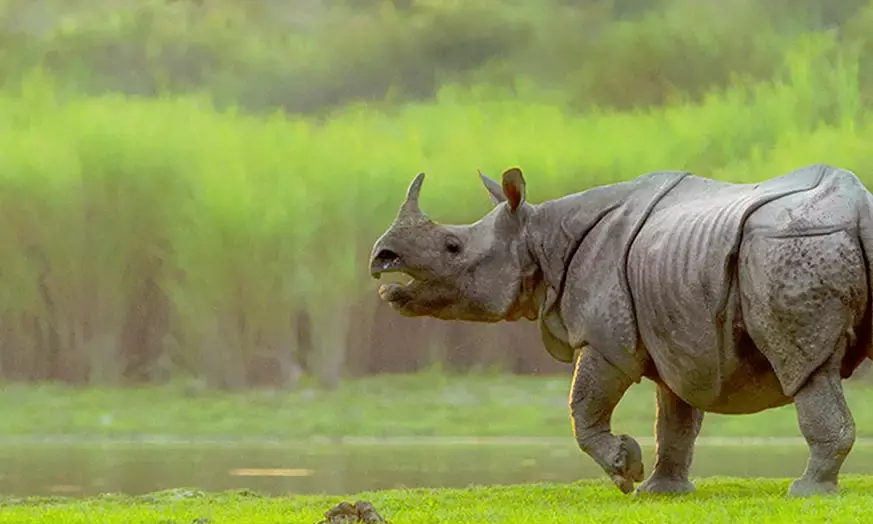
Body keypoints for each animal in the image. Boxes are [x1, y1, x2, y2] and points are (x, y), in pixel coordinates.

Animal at [368, 163, 873, 497]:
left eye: (452, 247)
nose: (381, 258)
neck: (539, 235)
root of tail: (858, 208)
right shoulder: (675, 331)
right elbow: (674, 418)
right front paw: (661, 491)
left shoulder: (606, 337)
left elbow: (583, 406)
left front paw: (625, 471)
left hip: (790, 247)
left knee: (805, 367)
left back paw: (806, 492)